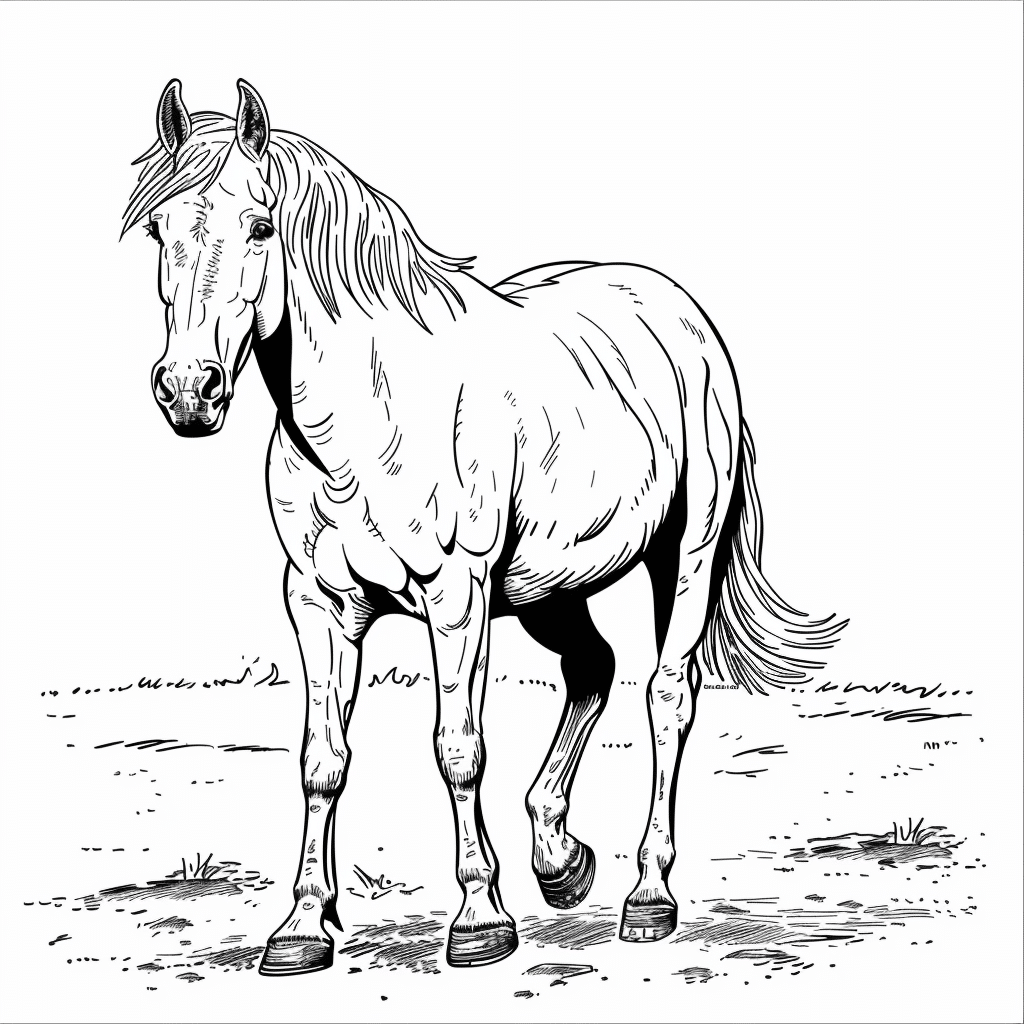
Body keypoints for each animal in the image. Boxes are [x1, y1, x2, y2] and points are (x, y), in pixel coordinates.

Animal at [123, 79, 846, 977]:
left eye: (260, 226)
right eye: (160, 230)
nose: (189, 390)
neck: (365, 419)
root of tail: (678, 312)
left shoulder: (456, 593)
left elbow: (457, 747)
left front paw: (479, 919)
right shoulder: (319, 602)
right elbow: (322, 760)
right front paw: (300, 927)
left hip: (682, 556)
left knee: (666, 697)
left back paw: (647, 895)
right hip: (548, 588)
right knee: (593, 667)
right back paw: (561, 862)